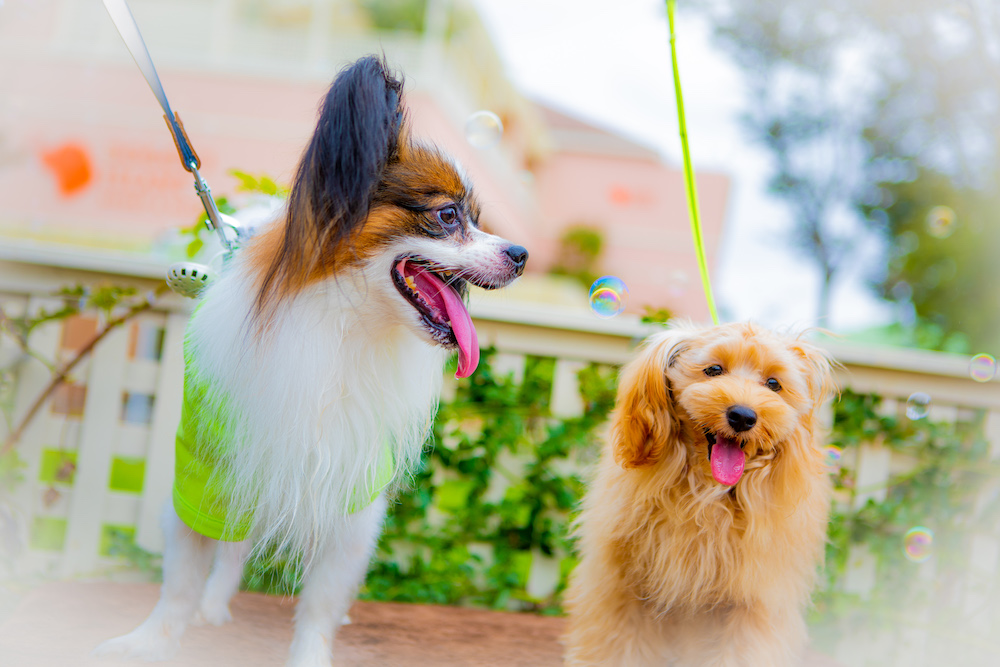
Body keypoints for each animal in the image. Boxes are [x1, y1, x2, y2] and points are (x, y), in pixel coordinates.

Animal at [95, 56, 527, 666]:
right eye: (447, 215)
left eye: (478, 218)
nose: (522, 255)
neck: (340, 327)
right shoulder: (208, 465)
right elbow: (181, 573)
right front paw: (152, 640)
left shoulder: (352, 487)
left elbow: (322, 600)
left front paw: (310, 652)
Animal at [565, 321, 834, 666]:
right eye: (714, 370)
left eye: (774, 384)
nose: (743, 416)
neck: (706, 494)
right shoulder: (623, 588)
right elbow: (615, 647)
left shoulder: (754, 603)